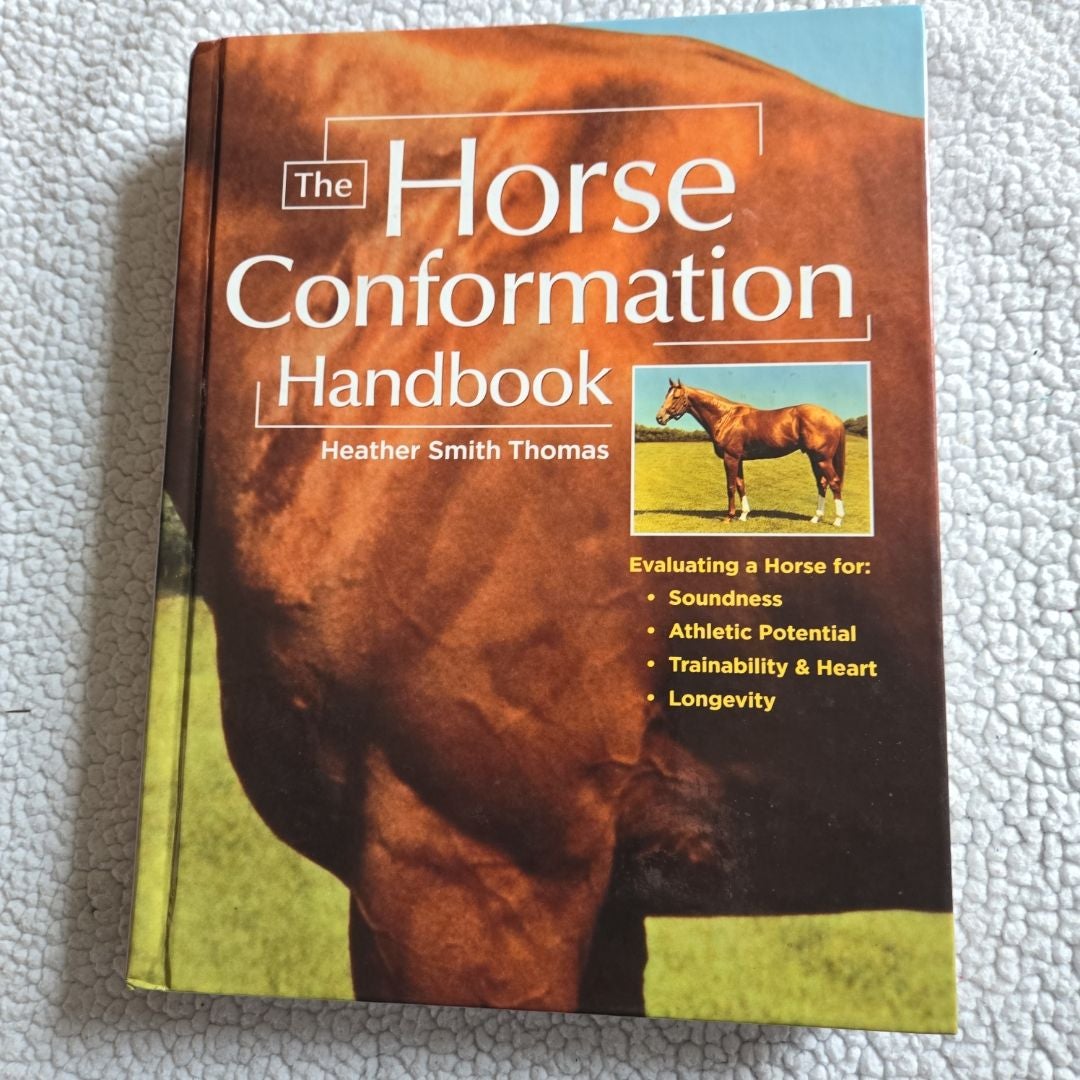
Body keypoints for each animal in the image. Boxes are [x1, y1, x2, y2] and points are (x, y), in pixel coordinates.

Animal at [655, 379, 848, 526]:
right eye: (666, 395)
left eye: (676, 396)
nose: (659, 418)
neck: (726, 417)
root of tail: (834, 417)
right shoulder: (738, 459)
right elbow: (741, 485)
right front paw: (743, 515)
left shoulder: (730, 458)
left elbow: (731, 487)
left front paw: (729, 517)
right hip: (814, 458)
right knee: (822, 484)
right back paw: (815, 518)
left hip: (823, 459)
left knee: (834, 482)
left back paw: (838, 520)